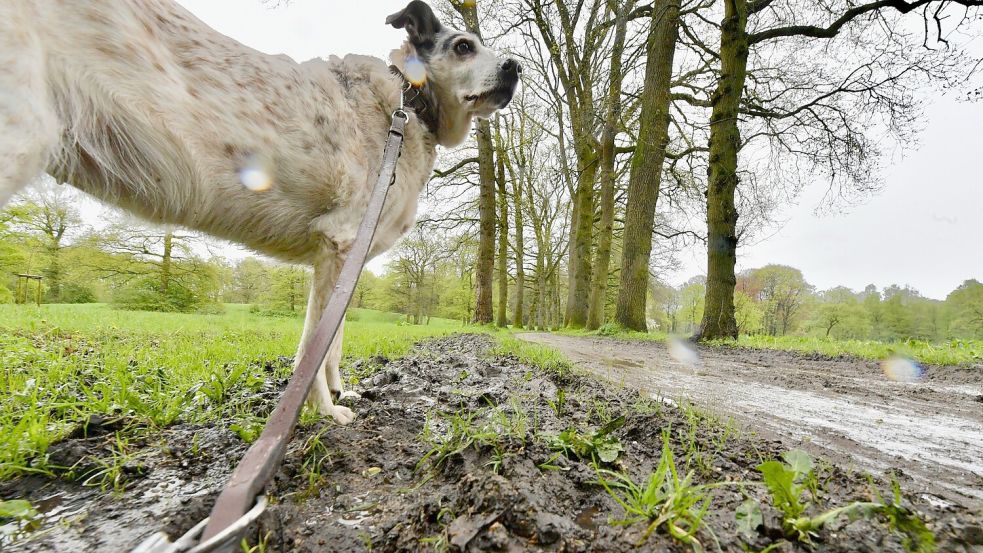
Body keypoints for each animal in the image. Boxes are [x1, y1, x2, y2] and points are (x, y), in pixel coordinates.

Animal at [0, 1, 524, 422]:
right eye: (463, 47)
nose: (516, 67)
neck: (407, 104)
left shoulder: (337, 262)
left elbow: (331, 343)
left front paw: (336, 392)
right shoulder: (340, 244)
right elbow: (313, 346)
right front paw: (325, 411)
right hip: (21, 140)